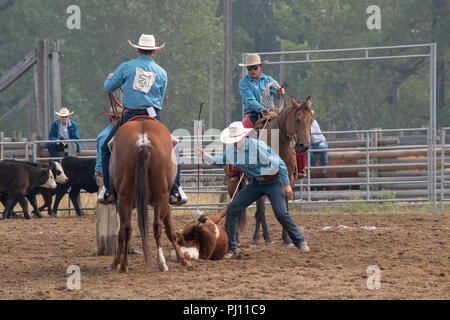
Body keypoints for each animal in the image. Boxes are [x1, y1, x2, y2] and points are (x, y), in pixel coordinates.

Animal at [110, 116, 191, 272]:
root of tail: (142, 140)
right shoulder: (166, 203)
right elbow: (170, 231)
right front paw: (183, 259)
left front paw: (115, 262)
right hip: (159, 196)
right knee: (155, 226)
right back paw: (160, 263)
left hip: (126, 198)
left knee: (127, 229)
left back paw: (125, 264)